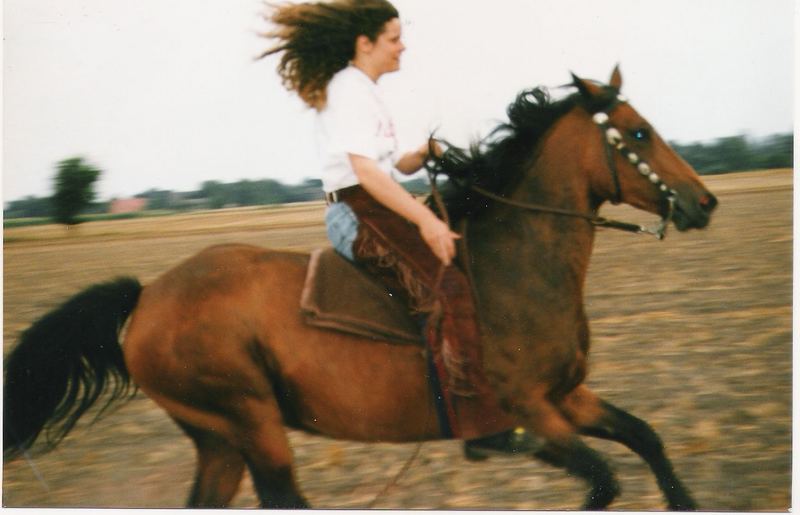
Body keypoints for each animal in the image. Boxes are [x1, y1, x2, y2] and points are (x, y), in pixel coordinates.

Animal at [3, 66, 720, 510]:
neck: (515, 266)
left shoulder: (569, 397)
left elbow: (647, 438)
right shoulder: (531, 414)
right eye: (637, 132)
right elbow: (603, 480)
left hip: (219, 439)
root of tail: (148, 295)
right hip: (250, 421)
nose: (704, 201)